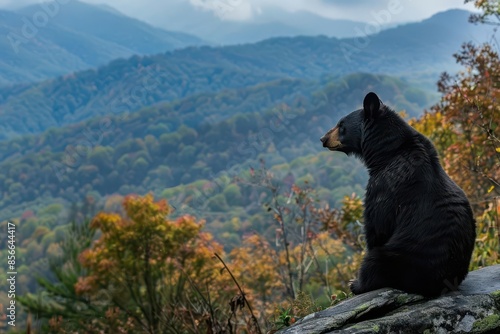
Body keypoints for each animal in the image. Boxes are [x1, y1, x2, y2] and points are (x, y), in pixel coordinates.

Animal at [320, 92, 476, 298]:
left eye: (341, 125)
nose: (323, 138)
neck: (387, 152)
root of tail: (446, 283)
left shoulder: (383, 187)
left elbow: (377, 225)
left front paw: (356, 282)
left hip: (400, 260)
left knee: (374, 260)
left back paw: (357, 284)